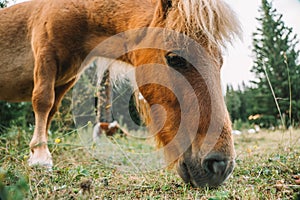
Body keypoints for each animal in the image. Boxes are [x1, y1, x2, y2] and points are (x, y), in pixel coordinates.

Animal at [0, 0, 240, 188]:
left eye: (220, 62)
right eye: (175, 58)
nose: (220, 166)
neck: (77, 11)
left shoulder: (66, 80)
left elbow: (50, 110)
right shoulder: (46, 57)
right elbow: (43, 102)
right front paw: (40, 157)